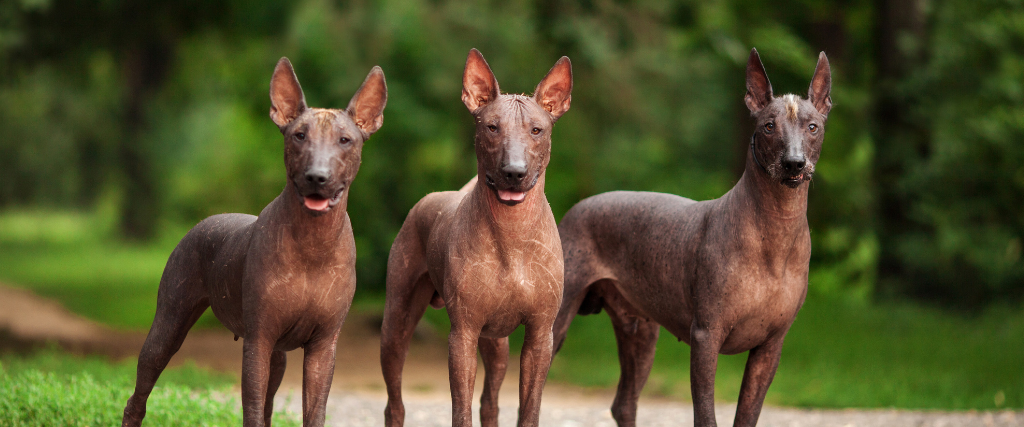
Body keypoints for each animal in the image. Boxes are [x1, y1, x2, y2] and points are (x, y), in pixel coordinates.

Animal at [121, 57, 385, 425]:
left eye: (345, 140)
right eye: (299, 135)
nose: (317, 177)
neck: (313, 243)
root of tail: (205, 221)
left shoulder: (323, 347)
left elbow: (312, 413)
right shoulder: (258, 341)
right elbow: (253, 412)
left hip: (278, 357)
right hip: (168, 327)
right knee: (138, 396)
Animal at [378, 49, 573, 425]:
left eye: (537, 130)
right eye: (491, 127)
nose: (514, 172)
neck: (512, 234)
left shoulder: (540, 336)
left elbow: (529, 409)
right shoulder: (463, 335)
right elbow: (461, 410)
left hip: (496, 345)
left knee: (490, 402)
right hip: (396, 324)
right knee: (394, 403)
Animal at [552, 48, 831, 425]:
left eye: (812, 127)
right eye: (769, 126)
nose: (794, 163)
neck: (774, 231)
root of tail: (575, 209)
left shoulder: (770, 347)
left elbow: (747, 416)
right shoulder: (705, 339)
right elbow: (706, 415)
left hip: (640, 332)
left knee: (623, 403)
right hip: (554, 326)